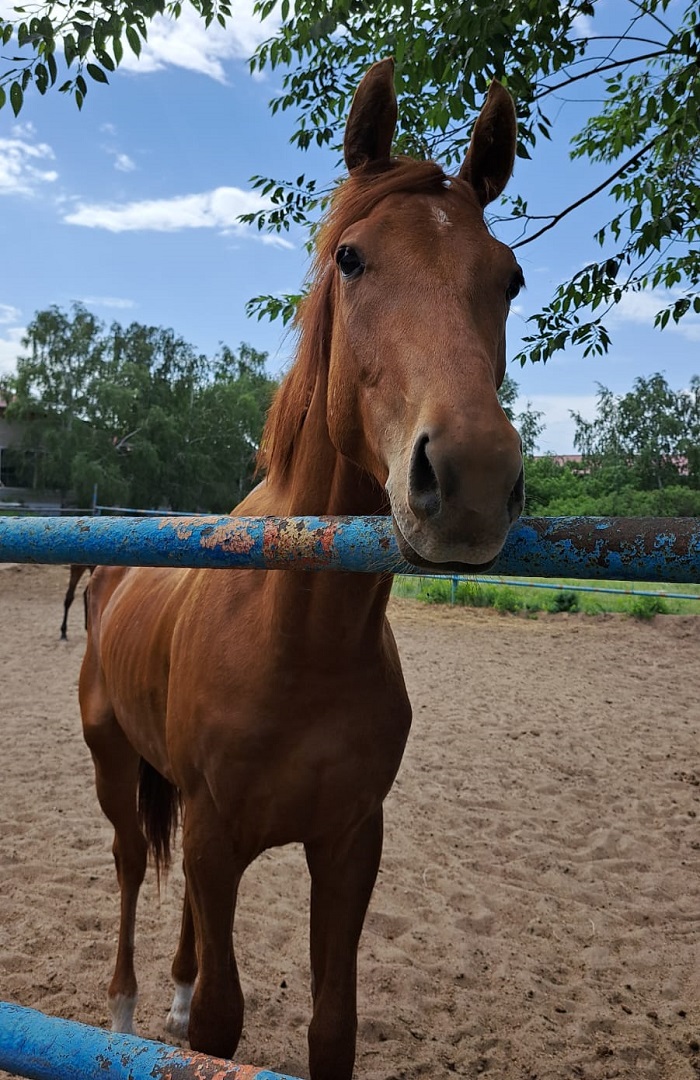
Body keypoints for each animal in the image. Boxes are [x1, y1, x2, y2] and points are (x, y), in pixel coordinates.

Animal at [79, 59, 522, 1080]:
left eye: (510, 278)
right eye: (352, 259)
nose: (473, 477)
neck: (298, 639)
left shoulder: (349, 844)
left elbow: (329, 1026)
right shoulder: (215, 840)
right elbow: (221, 1027)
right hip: (115, 767)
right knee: (128, 868)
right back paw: (120, 1011)